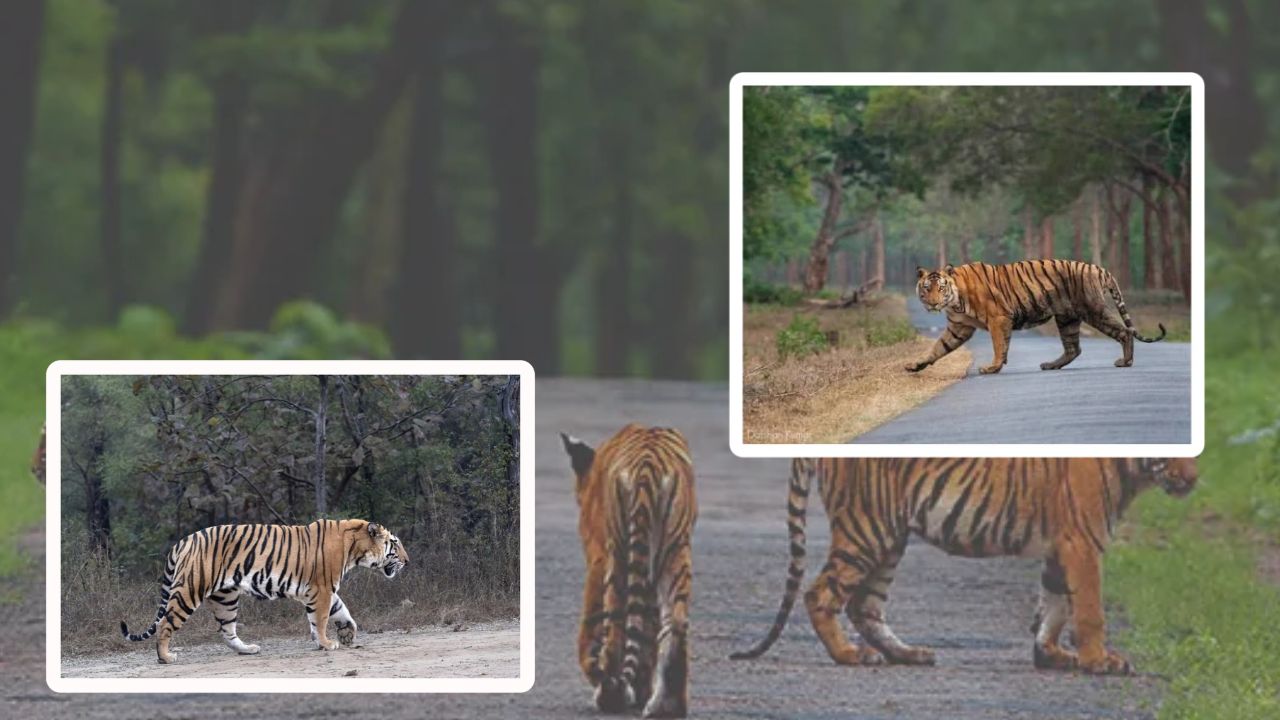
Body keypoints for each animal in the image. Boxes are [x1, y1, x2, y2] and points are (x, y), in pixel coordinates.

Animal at [120, 519, 407, 664]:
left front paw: (346, 634)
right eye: (394, 543)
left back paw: (247, 650)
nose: (408, 560)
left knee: (227, 630)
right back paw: (166, 657)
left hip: (225, 597)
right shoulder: (322, 588)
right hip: (189, 590)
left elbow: (341, 610)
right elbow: (322, 619)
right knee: (164, 624)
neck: (354, 548)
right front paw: (327, 643)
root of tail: (183, 541)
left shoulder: (323, 590)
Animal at [561, 424, 698, 719]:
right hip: (675, 552)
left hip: (619, 557)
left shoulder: (598, 557)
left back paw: (609, 695)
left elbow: (592, 623)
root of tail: (647, 467)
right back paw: (668, 707)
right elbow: (648, 630)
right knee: (675, 622)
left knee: (615, 630)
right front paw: (642, 689)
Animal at [730, 457, 1197, 675]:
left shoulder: (1060, 548)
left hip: (890, 537)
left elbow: (1055, 605)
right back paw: (849, 655)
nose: (1193, 479)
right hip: (868, 529)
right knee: (822, 593)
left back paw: (907, 653)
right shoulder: (1082, 542)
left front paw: (1049, 654)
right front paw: (1100, 661)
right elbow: (1089, 611)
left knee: (864, 605)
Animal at [906, 260, 1167, 375]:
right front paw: (915, 364)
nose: (932, 303)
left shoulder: (998, 318)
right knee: (1074, 348)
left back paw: (1126, 362)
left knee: (1124, 331)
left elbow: (999, 345)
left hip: (1093, 310)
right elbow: (938, 348)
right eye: (926, 288)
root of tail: (1098, 268)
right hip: (1067, 318)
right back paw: (1051, 365)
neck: (956, 300)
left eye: (940, 288)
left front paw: (993, 367)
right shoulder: (959, 327)